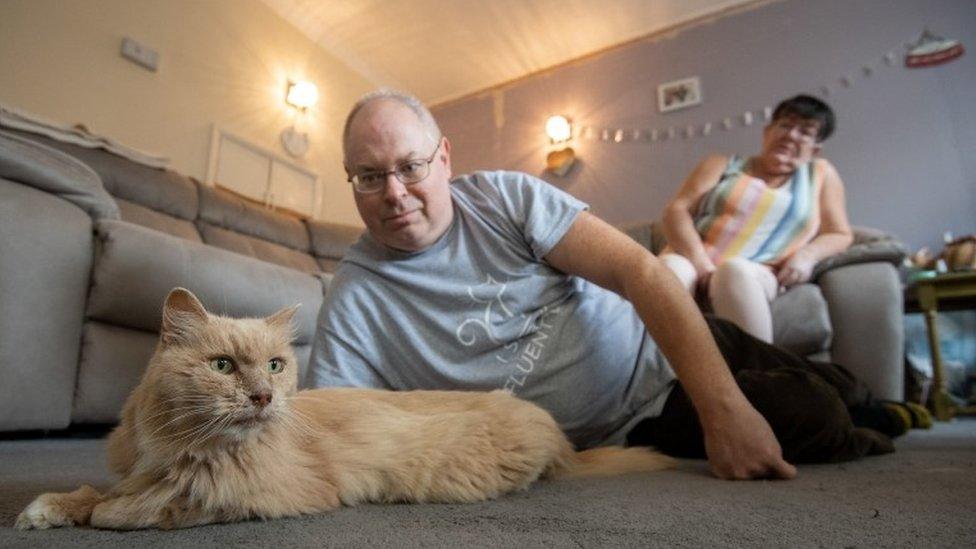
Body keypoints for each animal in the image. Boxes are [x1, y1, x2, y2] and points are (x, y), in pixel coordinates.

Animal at [17, 288, 672, 528]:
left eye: (275, 366)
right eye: (223, 366)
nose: (262, 397)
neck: (179, 445)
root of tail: (558, 435)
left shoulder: (260, 495)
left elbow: (145, 509)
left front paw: (98, 514)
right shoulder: (145, 467)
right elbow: (105, 492)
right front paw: (54, 507)